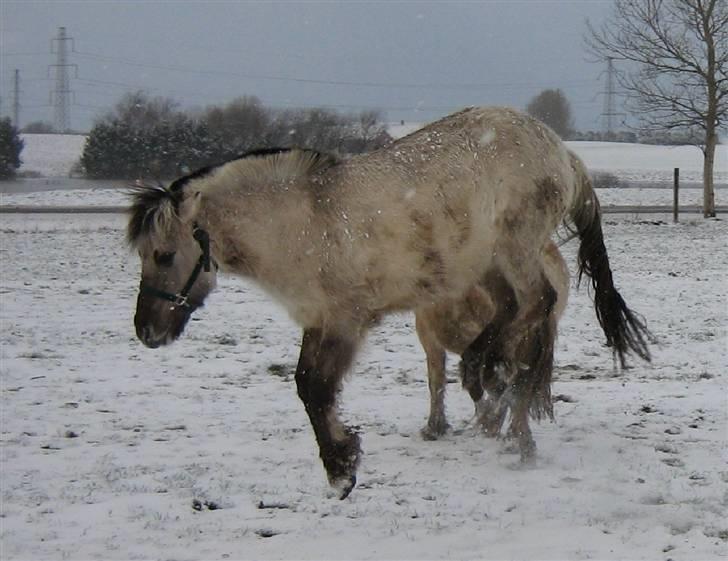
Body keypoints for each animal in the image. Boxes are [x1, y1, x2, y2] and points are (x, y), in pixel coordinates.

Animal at [416, 237, 568, 460]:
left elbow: (436, 382)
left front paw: (434, 428)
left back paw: (498, 427)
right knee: (514, 387)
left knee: (496, 381)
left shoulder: (431, 340)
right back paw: (515, 438)